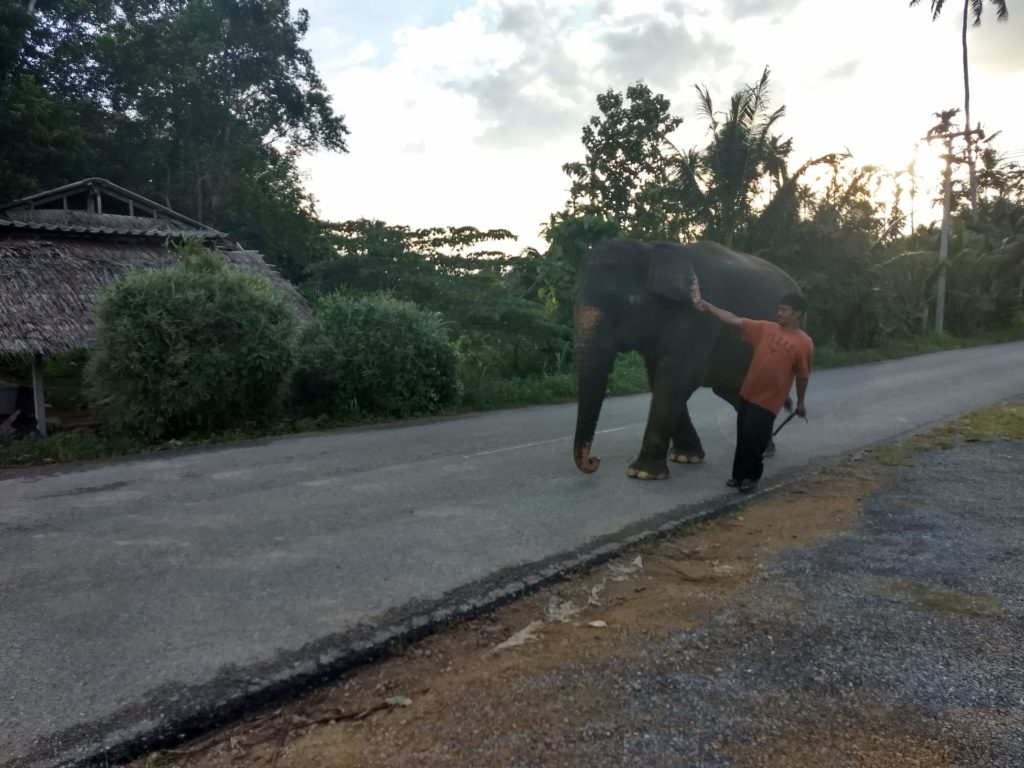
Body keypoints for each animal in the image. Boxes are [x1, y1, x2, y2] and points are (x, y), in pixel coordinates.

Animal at [573, 240, 802, 481]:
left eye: (627, 303)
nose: (594, 460)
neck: (651, 250)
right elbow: (660, 380)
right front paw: (686, 457)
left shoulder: (697, 322)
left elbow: (674, 380)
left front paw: (642, 473)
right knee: (732, 391)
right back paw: (763, 448)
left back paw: (764, 451)